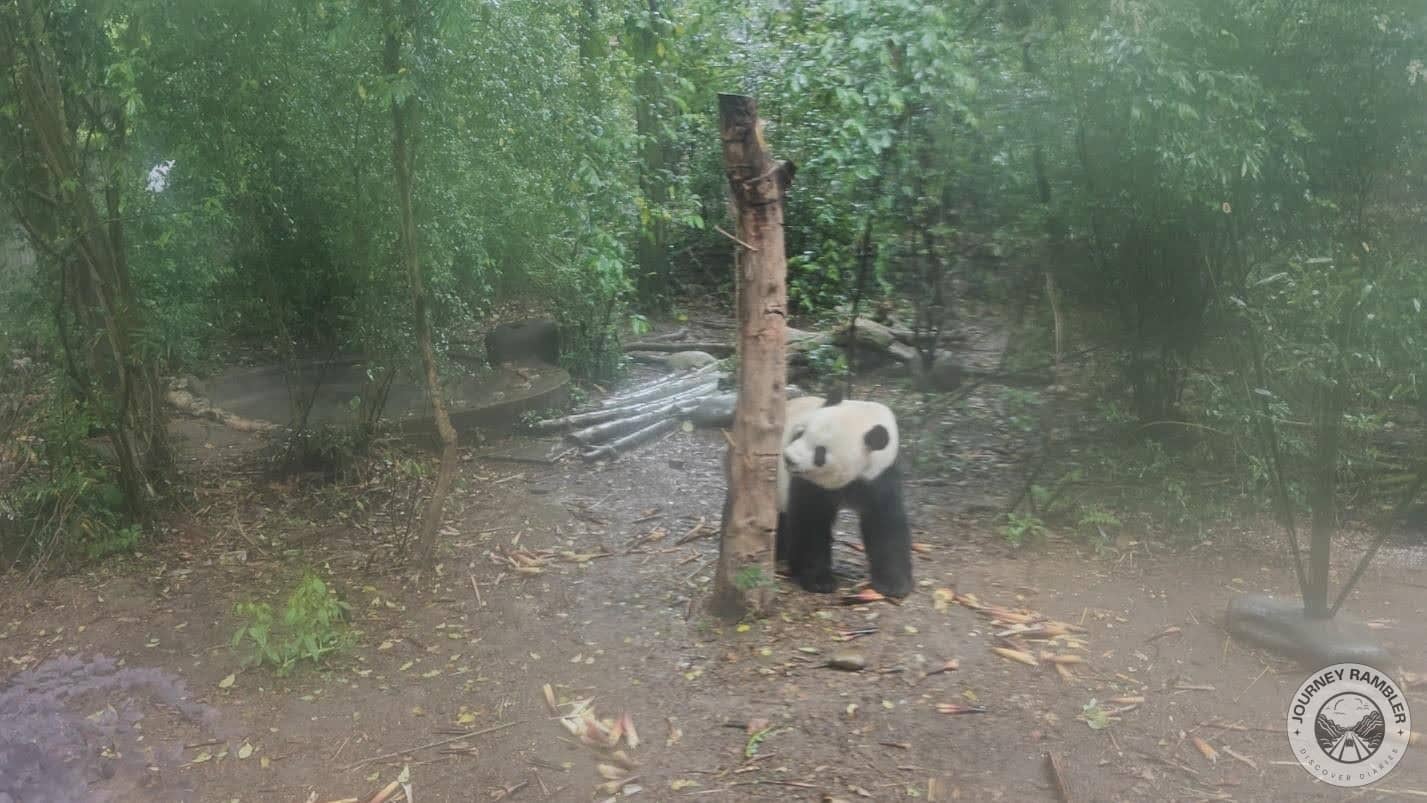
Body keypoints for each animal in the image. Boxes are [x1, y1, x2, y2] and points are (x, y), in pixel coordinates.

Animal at [775, 390, 914, 598]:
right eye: (799, 433)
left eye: (820, 452)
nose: (789, 459)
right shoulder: (808, 483)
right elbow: (811, 523)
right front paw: (819, 581)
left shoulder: (880, 475)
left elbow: (885, 523)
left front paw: (894, 584)